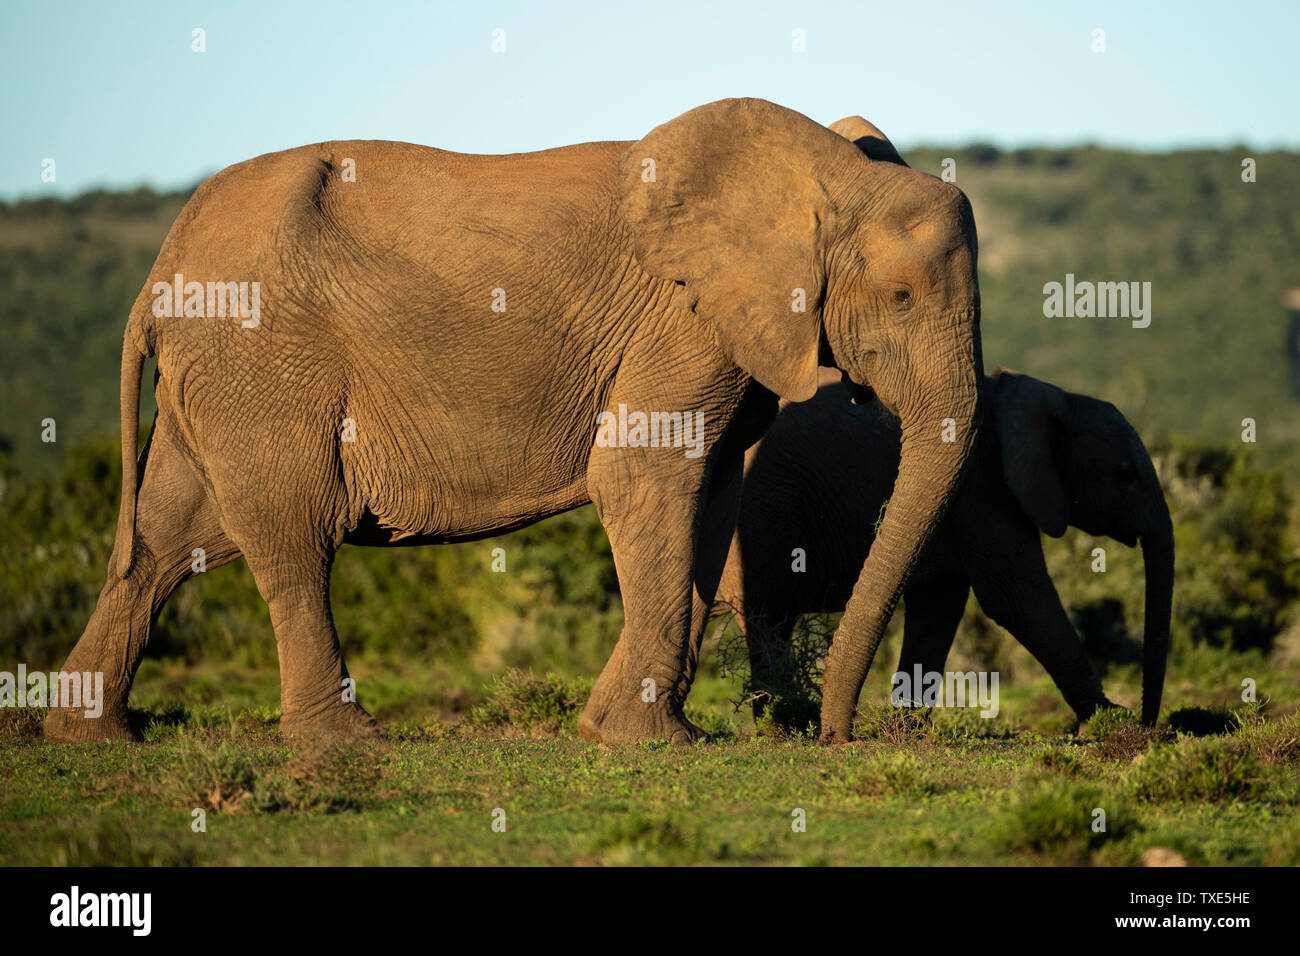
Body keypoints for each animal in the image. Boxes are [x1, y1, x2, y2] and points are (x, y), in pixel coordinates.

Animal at [43, 97, 982, 749]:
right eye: (902, 297)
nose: (833, 736)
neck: (821, 170)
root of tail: (159, 272)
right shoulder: (683, 321)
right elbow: (642, 476)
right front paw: (650, 743)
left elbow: (711, 498)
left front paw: (615, 731)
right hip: (261, 358)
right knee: (293, 535)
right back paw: (346, 745)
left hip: (218, 374)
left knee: (167, 541)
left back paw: (91, 735)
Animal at [717, 366, 1175, 723]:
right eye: (1124, 475)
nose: (1150, 722)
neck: (1049, 397)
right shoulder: (984, 487)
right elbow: (1018, 598)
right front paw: (1112, 721)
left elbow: (939, 607)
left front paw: (907, 729)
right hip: (764, 514)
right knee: (767, 618)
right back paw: (782, 726)